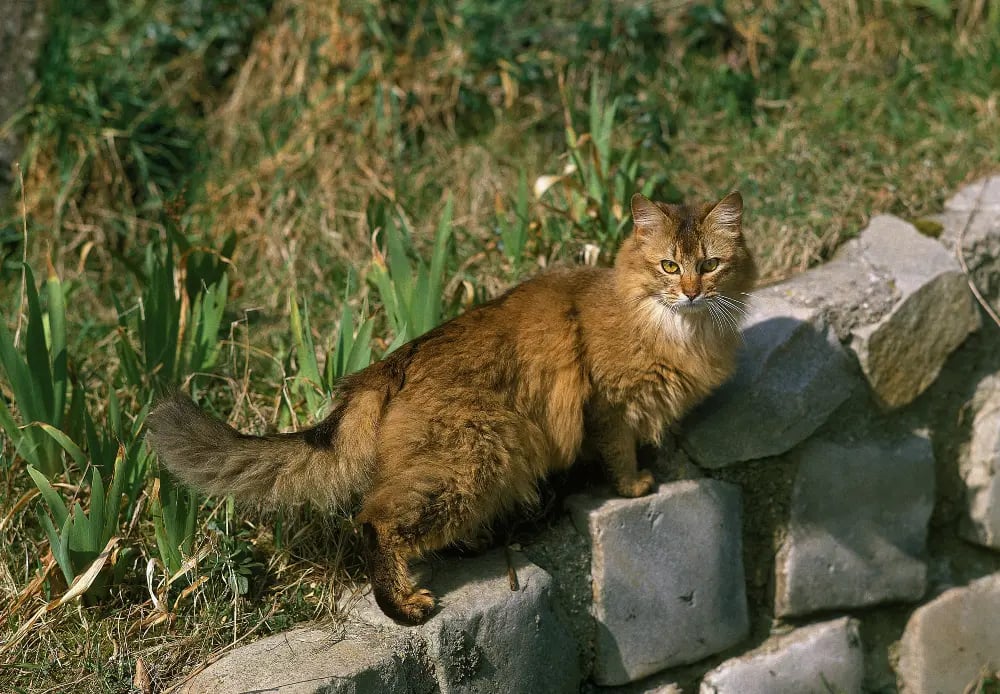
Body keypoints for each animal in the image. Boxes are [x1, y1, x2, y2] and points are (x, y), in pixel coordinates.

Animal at [146, 190, 756, 624]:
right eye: (669, 267)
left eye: (710, 264)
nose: (693, 292)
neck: (680, 331)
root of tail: (385, 366)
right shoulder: (610, 407)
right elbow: (620, 453)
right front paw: (635, 486)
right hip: (472, 460)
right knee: (375, 520)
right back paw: (405, 606)